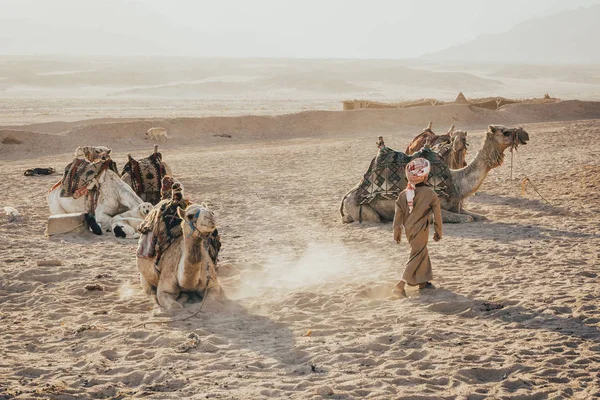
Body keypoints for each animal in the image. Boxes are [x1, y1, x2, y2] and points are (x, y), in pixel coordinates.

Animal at [342, 125, 528, 223]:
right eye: (504, 131)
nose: (524, 134)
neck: (457, 182)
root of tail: (347, 195)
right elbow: (468, 219)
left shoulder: (457, 206)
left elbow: (481, 217)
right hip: (363, 210)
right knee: (374, 218)